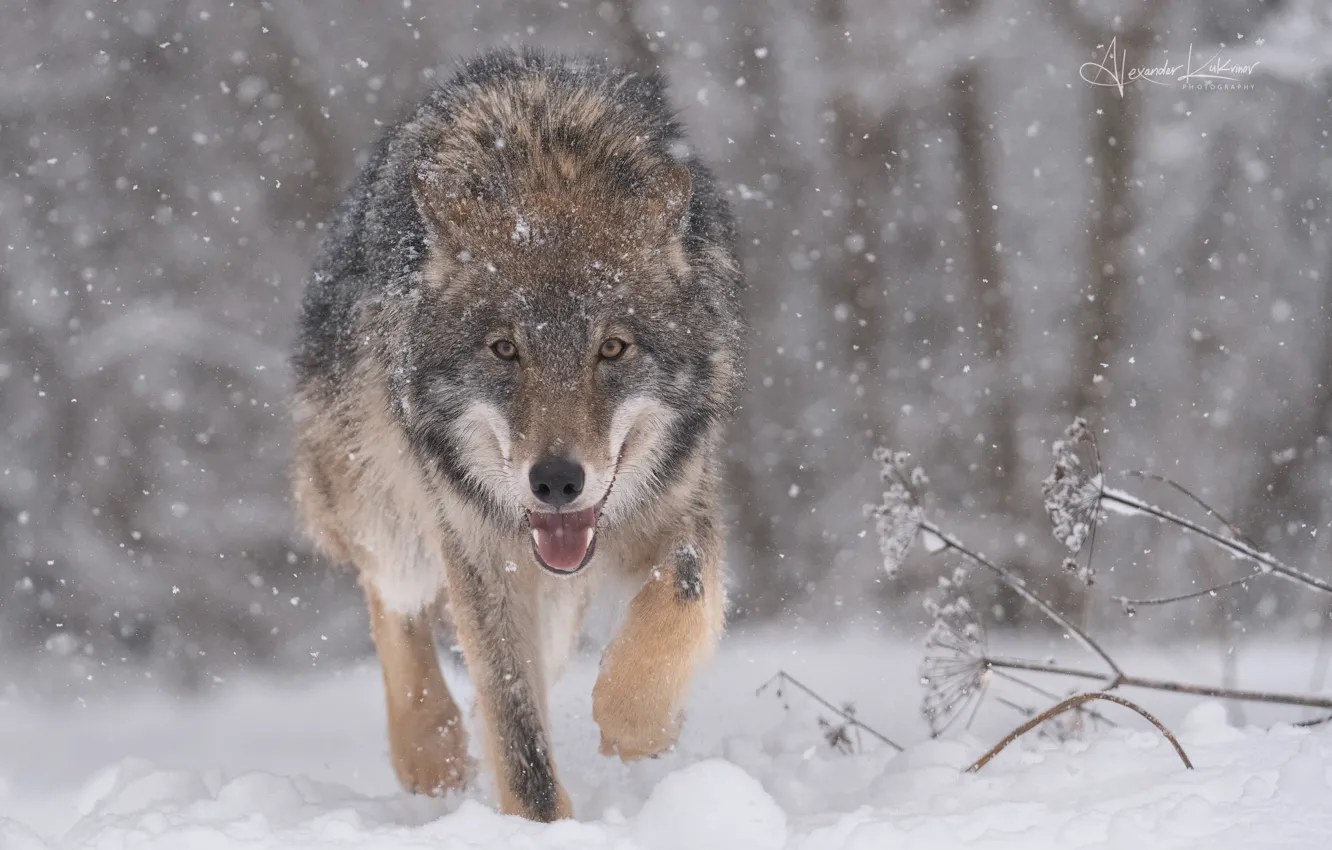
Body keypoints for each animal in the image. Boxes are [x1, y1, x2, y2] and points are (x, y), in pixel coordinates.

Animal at [291, 49, 745, 820]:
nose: (556, 481)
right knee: (393, 597)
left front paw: (639, 725)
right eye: (505, 350)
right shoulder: (479, 551)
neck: (547, 164)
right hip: (386, 507)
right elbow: (518, 731)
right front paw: (542, 825)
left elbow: (680, 606)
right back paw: (431, 751)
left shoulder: (684, 500)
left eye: (612, 349)